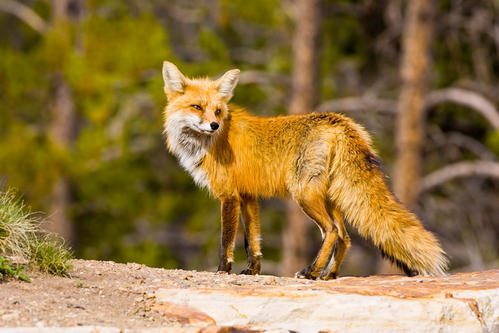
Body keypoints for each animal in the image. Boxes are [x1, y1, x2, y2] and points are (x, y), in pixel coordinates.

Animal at [161, 61, 450, 278]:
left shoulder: (229, 195)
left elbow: (227, 241)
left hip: (305, 195)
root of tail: (339, 121)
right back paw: (329, 275)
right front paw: (252, 270)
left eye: (218, 111)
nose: (214, 125)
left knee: (331, 232)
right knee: (345, 237)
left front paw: (223, 270)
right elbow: (252, 240)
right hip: (331, 197)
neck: (207, 144)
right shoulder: (248, 196)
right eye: (197, 107)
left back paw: (310, 272)